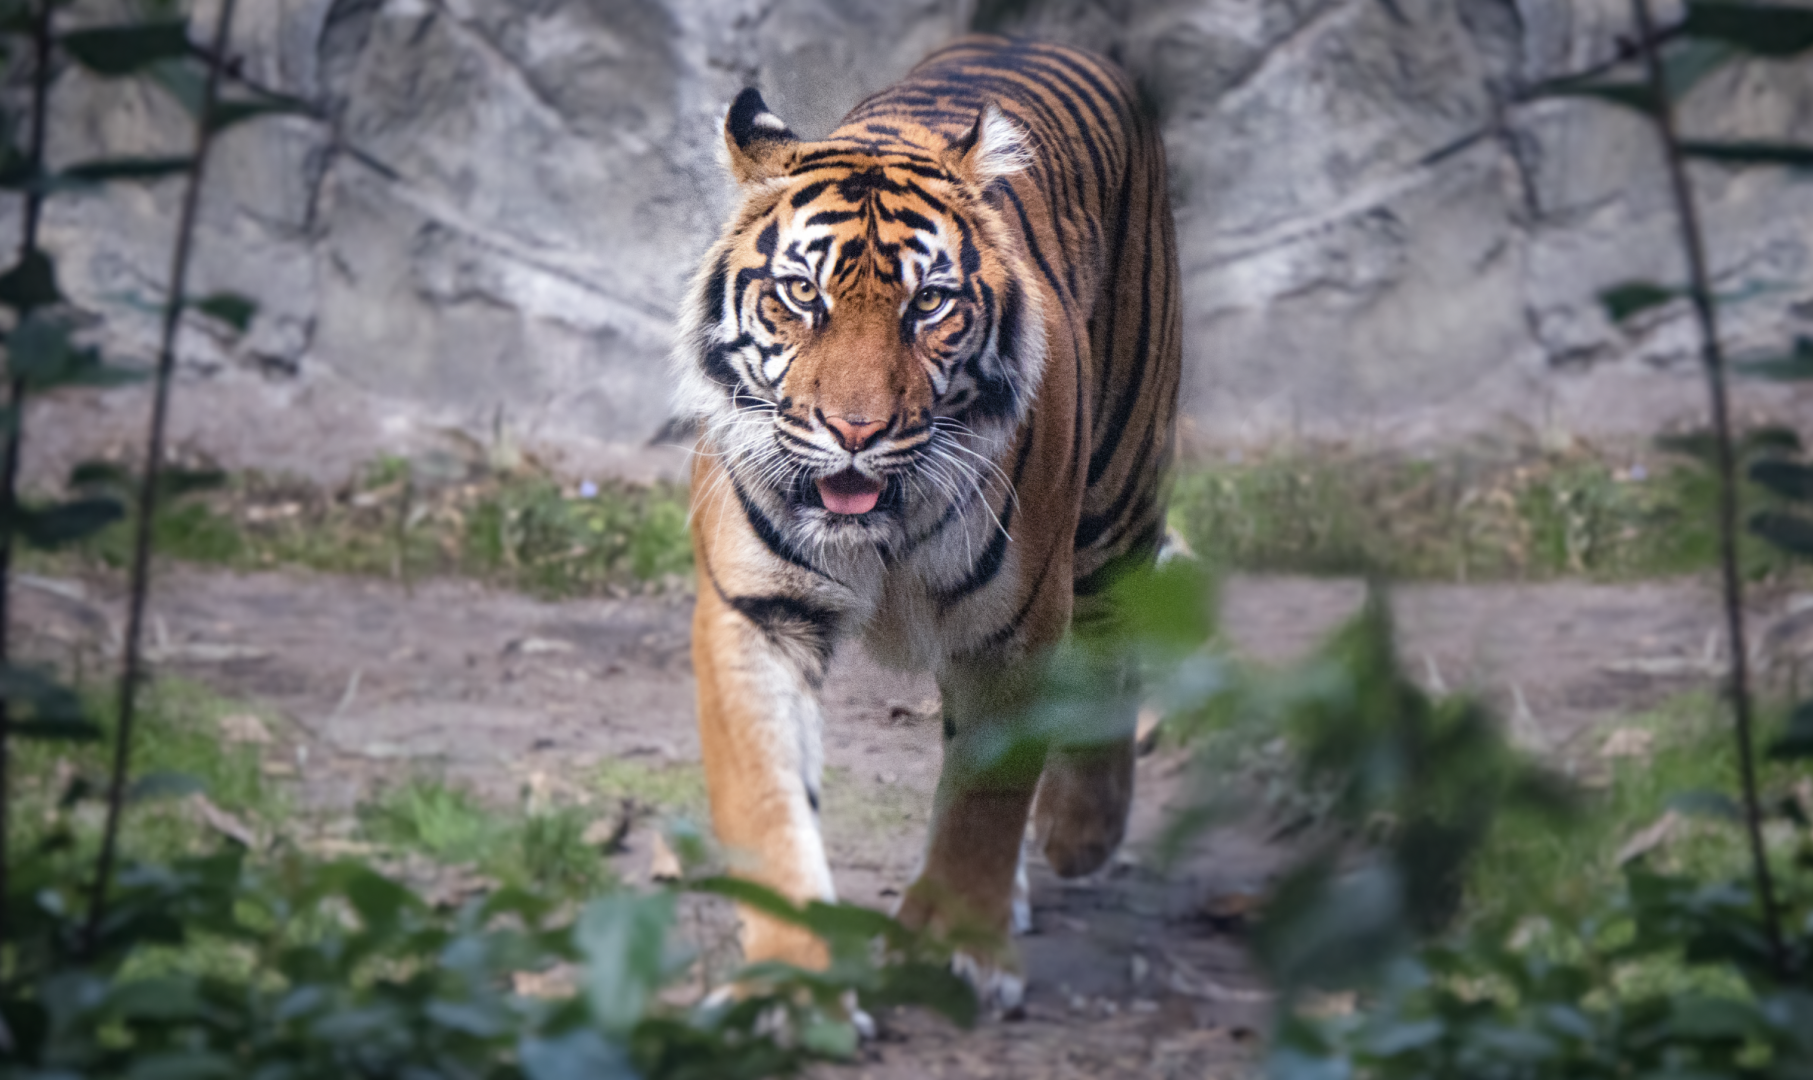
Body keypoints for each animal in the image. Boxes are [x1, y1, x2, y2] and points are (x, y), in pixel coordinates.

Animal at [672, 34, 1181, 1007]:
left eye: (929, 305)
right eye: (801, 295)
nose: (854, 431)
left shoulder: (1012, 626)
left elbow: (987, 792)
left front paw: (955, 945)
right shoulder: (756, 612)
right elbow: (766, 795)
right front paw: (788, 984)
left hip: (1116, 500)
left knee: (1119, 630)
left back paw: (1080, 830)